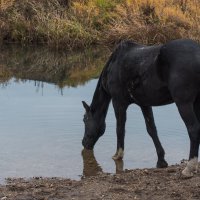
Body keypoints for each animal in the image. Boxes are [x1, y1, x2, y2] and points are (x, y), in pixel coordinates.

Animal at [81, 38, 200, 177]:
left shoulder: (118, 102)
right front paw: (161, 160)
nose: (84, 143)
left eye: (84, 119)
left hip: (183, 103)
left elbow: (120, 129)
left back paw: (189, 168)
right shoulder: (144, 104)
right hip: (196, 102)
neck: (114, 64)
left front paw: (117, 155)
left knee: (193, 129)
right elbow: (151, 130)